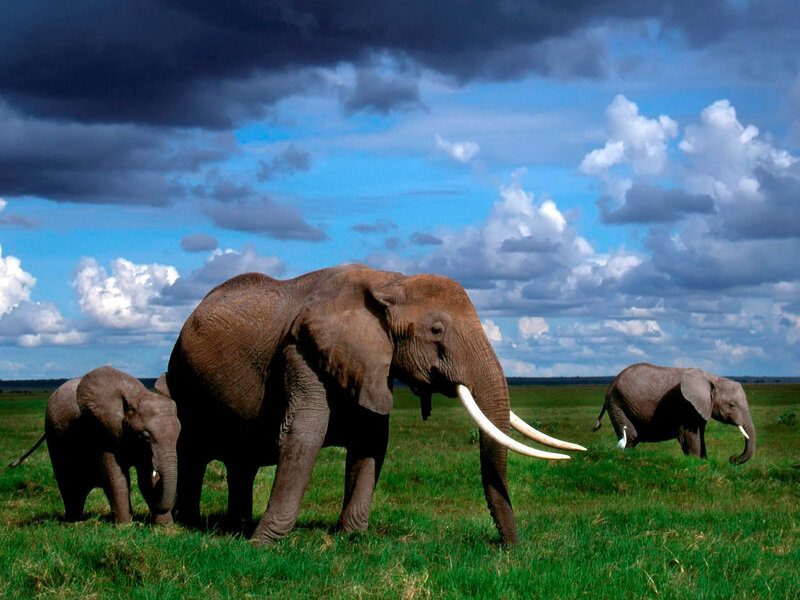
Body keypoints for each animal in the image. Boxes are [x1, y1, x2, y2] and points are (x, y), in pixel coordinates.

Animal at [9, 366, 181, 524]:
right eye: (145, 436)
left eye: (178, 434)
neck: (137, 395)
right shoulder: (101, 432)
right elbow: (116, 478)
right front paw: (125, 526)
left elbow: (146, 479)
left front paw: (165, 527)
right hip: (54, 437)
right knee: (69, 485)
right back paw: (73, 521)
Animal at [166, 264, 584, 545]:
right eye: (436, 330)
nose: (510, 548)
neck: (389, 282)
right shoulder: (303, 350)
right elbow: (303, 434)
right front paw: (264, 545)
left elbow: (371, 441)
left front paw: (351, 538)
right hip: (182, 379)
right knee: (193, 450)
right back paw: (187, 525)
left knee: (242, 461)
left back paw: (233, 526)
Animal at [593, 362, 755, 464]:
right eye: (731, 405)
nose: (732, 458)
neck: (713, 378)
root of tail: (610, 385)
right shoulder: (684, 405)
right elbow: (691, 437)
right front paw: (696, 462)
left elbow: (700, 435)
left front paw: (704, 461)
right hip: (617, 404)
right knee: (631, 436)